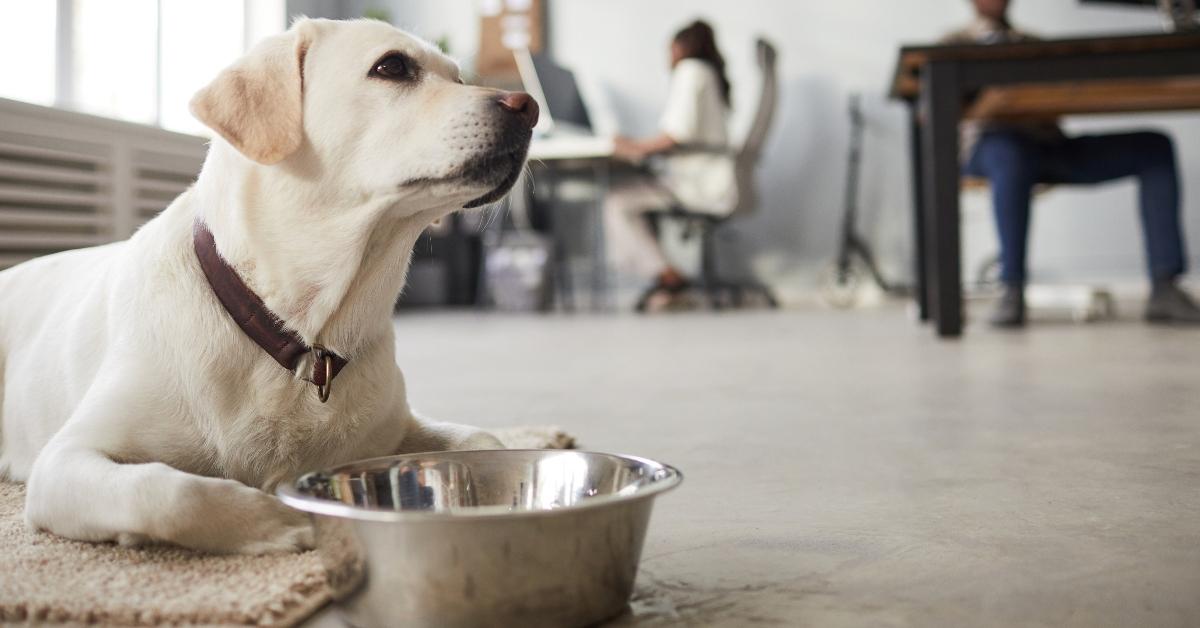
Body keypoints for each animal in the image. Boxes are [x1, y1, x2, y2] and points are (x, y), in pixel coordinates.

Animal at [0, 17, 540, 552]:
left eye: (459, 77)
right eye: (392, 66)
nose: (528, 107)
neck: (300, 336)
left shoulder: (398, 425)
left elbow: (486, 443)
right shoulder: (65, 460)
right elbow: (167, 492)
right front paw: (280, 521)